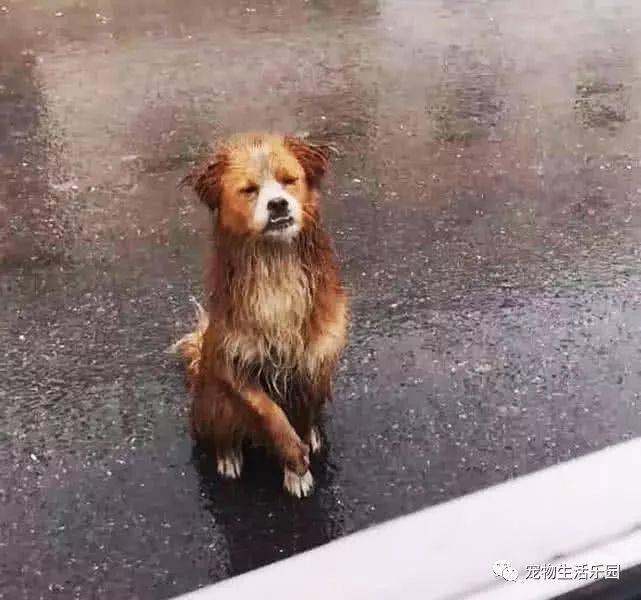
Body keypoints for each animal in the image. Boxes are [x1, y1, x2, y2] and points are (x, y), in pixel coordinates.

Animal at [172, 134, 348, 500]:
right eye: (249, 190)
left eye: (288, 180)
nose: (278, 204)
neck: (274, 261)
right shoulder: (233, 360)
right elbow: (268, 412)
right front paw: (294, 458)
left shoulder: (313, 361)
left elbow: (300, 416)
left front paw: (298, 466)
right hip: (213, 401)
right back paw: (228, 457)